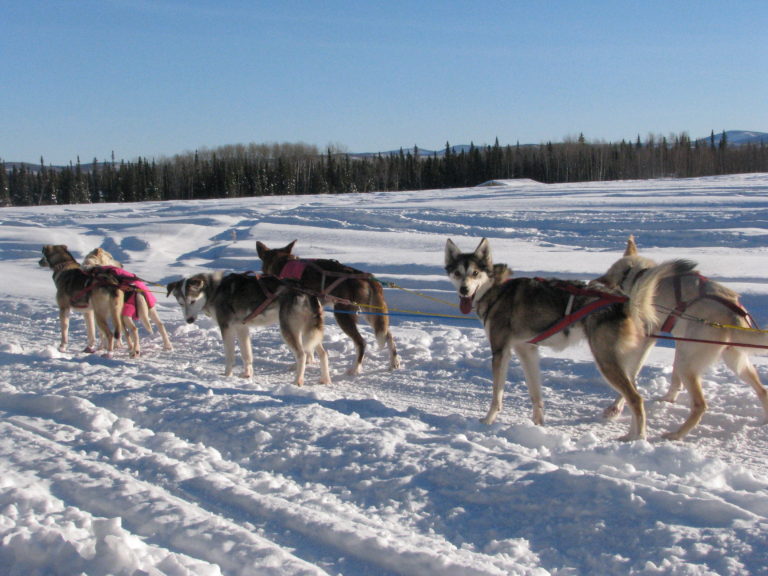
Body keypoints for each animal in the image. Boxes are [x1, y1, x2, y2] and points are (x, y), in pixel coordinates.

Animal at [168, 272, 330, 384]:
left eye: (192, 301)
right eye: (181, 303)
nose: (189, 320)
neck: (214, 290)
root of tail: (307, 293)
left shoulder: (226, 328)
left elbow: (230, 356)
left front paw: (227, 375)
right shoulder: (242, 328)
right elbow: (247, 354)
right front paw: (247, 374)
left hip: (289, 330)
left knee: (302, 355)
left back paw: (297, 381)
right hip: (308, 334)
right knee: (323, 354)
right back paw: (325, 380)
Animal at [258, 238, 402, 374]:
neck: (283, 263)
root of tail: (366, 276)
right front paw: (309, 360)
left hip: (342, 315)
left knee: (361, 342)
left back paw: (355, 369)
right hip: (371, 314)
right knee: (388, 335)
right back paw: (394, 362)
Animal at [440, 236, 688, 438]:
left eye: (475, 273)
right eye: (457, 273)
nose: (463, 290)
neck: (496, 289)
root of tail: (625, 301)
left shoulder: (501, 352)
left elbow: (496, 395)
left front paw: (487, 421)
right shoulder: (527, 351)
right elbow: (536, 395)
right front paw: (538, 425)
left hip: (606, 362)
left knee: (636, 398)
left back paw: (637, 439)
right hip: (621, 362)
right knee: (632, 395)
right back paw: (629, 434)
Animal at [592, 236, 768, 438]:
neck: (637, 275)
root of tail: (732, 313)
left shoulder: (647, 338)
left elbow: (632, 373)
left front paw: (615, 407)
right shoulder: (679, 342)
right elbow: (673, 376)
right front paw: (669, 398)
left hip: (690, 365)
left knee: (700, 405)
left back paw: (676, 434)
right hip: (733, 361)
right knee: (763, 390)